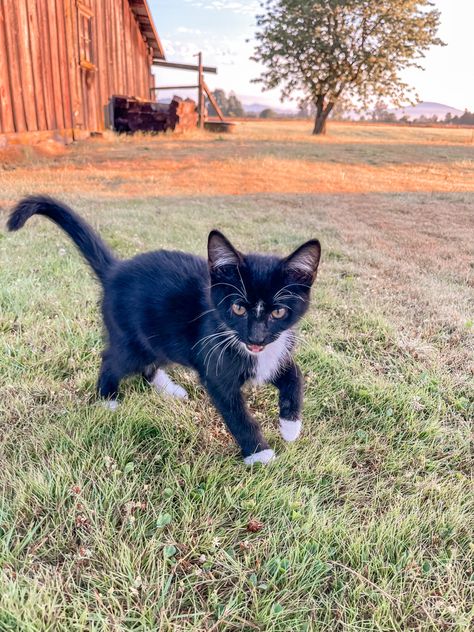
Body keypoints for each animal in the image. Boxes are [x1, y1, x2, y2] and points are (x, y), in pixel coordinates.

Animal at [9, 196, 322, 464]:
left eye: (278, 312)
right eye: (238, 308)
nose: (255, 338)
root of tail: (114, 271)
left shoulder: (274, 349)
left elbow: (294, 375)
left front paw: (290, 427)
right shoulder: (217, 365)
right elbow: (236, 412)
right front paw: (259, 454)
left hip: (159, 337)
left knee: (150, 363)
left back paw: (170, 389)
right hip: (131, 337)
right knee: (114, 358)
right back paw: (109, 399)